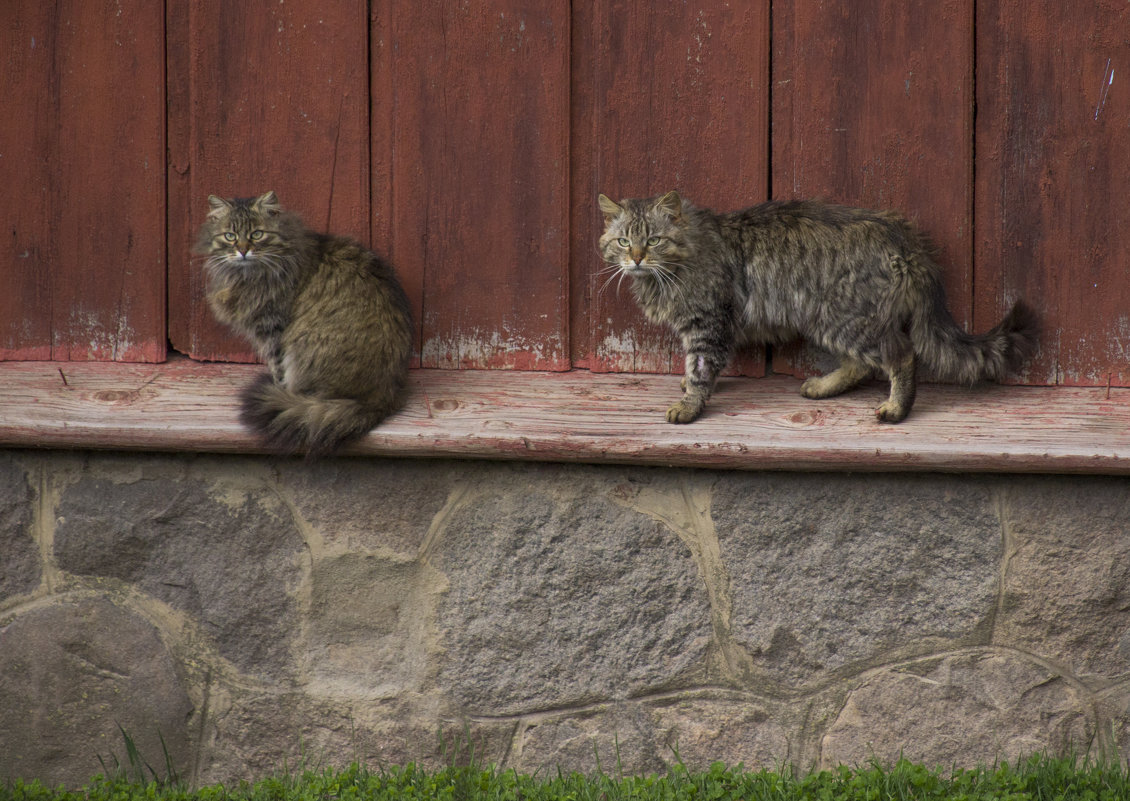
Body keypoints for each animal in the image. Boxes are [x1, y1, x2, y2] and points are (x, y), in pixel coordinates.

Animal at [196, 190, 413, 454]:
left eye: (257, 234)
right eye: (230, 236)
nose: (243, 251)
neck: (248, 275)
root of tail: (380, 397)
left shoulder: (273, 329)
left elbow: (278, 369)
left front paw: (279, 389)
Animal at [596, 189, 1035, 422]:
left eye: (654, 240)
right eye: (624, 241)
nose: (636, 258)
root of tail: (901, 235)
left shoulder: (708, 324)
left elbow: (701, 368)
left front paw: (689, 405)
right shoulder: (705, 327)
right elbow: (696, 368)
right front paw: (688, 388)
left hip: (844, 318)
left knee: (901, 355)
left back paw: (896, 408)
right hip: (831, 320)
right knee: (860, 364)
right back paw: (823, 387)